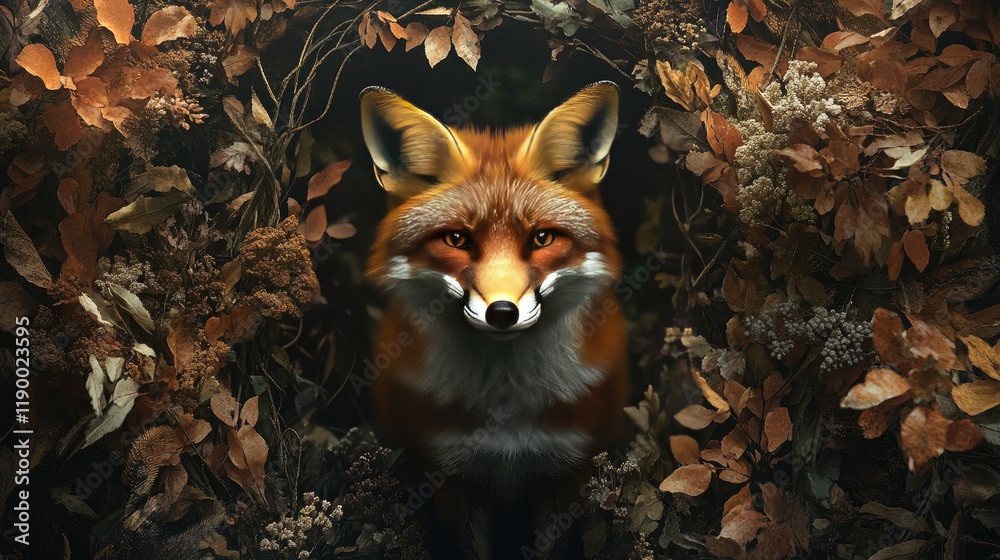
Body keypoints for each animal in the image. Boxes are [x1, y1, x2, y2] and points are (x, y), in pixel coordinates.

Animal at [359, 82, 629, 560]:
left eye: (542, 238)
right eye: (456, 239)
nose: (502, 312)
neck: (505, 404)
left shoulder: (568, 470)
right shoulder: (448, 475)